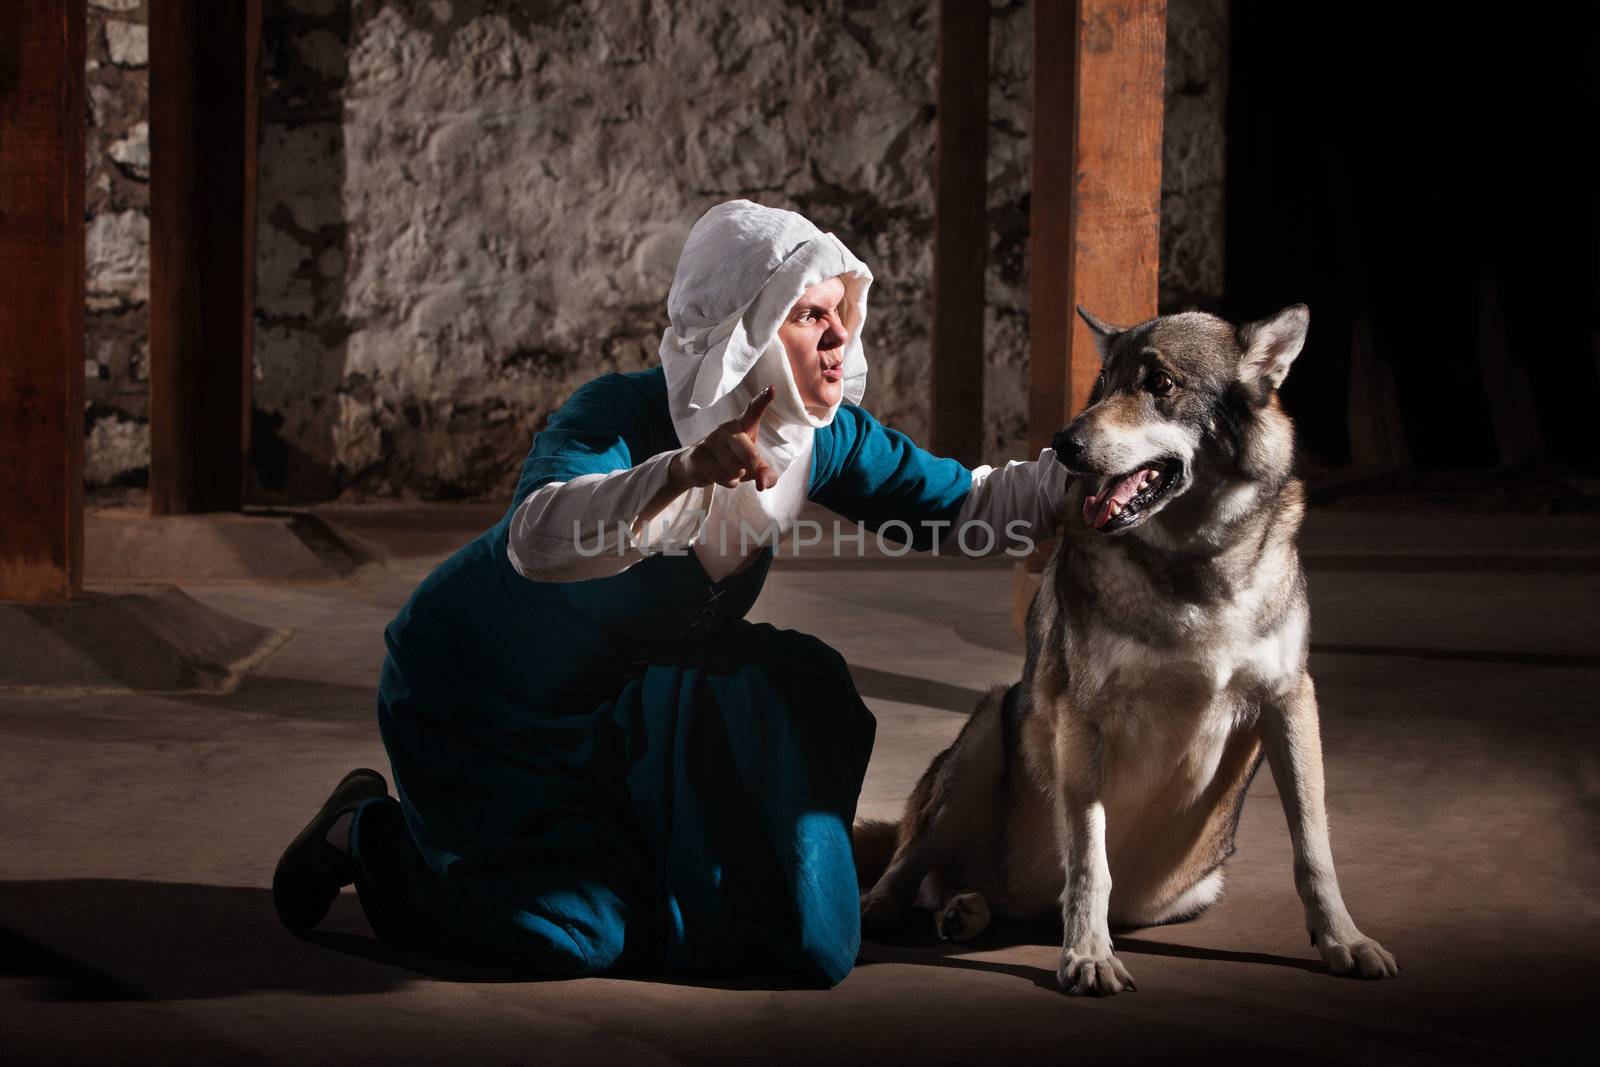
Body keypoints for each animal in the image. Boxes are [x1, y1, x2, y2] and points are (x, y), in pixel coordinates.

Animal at [857, 303, 1395, 998]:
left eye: (1157, 383)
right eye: (1102, 386)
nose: (1063, 446)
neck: (1195, 567)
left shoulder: (1291, 701)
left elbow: (1313, 847)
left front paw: (1343, 940)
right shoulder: (1084, 717)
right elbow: (1090, 859)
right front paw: (1088, 955)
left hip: (1193, 887)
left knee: (968, 890)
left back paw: (966, 911)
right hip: (983, 737)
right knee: (905, 867)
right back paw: (885, 909)